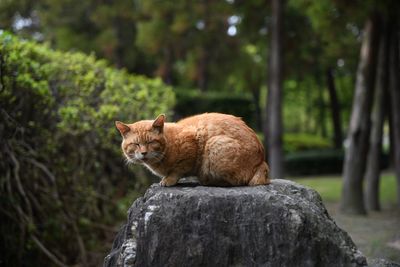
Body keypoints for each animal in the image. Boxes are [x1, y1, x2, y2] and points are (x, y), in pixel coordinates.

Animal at [116, 112, 272, 186]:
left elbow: (178, 169)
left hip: (214, 145)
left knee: (236, 181)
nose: (143, 152)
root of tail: (262, 161)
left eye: (150, 142)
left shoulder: (191, 143)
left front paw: (168, 179)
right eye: (136, 144)